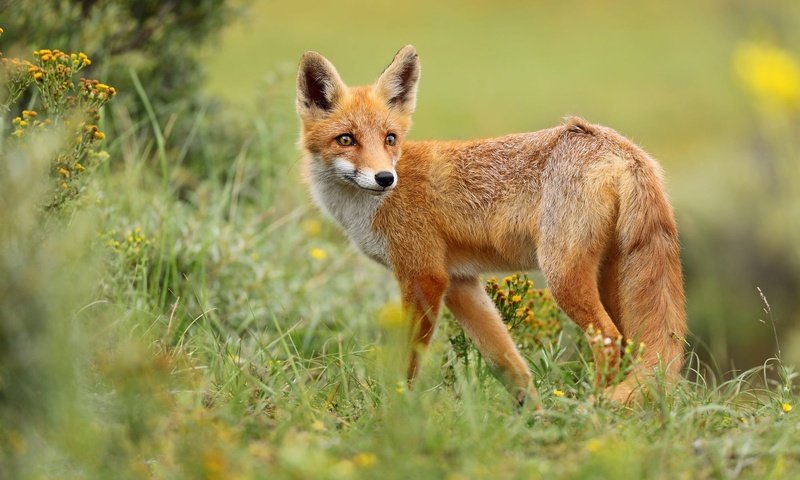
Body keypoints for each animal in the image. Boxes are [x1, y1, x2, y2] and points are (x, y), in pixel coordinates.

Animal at [296, 46, 688, 404]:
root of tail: (622, 147)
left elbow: (408, 362)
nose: (384, 178)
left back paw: (594, 408)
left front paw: (394, 408)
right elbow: (508, 363)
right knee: (630, 345)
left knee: (608, 341)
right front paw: (533, 415)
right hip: (611, 278)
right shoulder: (459, 282)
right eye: (346, 139)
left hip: (562, 275)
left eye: (390, 139)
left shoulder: (423, 276)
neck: (370, 207)